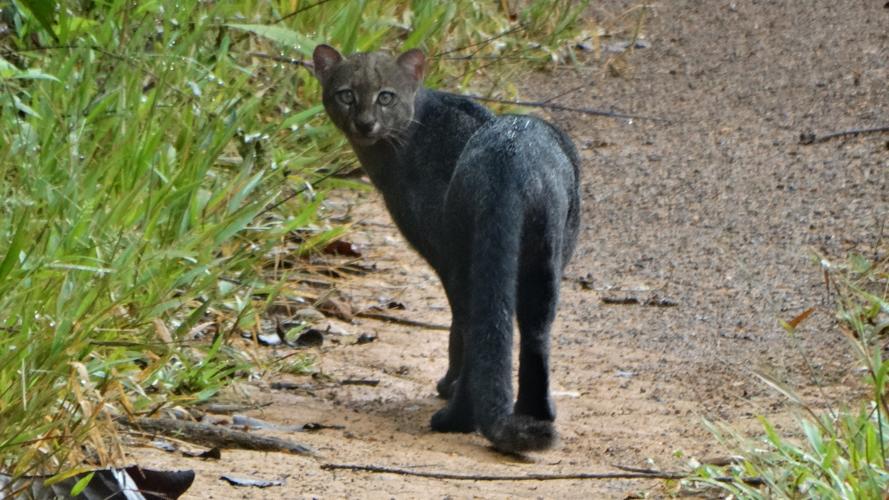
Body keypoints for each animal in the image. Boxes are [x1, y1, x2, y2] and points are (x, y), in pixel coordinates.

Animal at [314, 46, 584, 454]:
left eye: (385, 96)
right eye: (346, 94)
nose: (364, 123)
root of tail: (510, 160)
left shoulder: (441, 253)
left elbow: (457, 328)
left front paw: (448, 385)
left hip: (468, 257)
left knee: (475, 328)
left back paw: (456, 418)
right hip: (543, 261)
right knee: (534, 334)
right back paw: (536, 416)